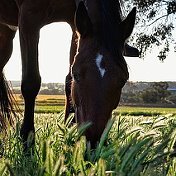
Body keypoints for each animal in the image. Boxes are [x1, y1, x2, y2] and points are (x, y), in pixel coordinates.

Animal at [0, 0, 138, 149]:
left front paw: (69, 133)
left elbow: (68, 83)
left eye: (123, 79)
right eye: (76, 74)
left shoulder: (74, 22)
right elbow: (31, 83)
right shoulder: (28, 17)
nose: (93, 141)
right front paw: (28, 141)